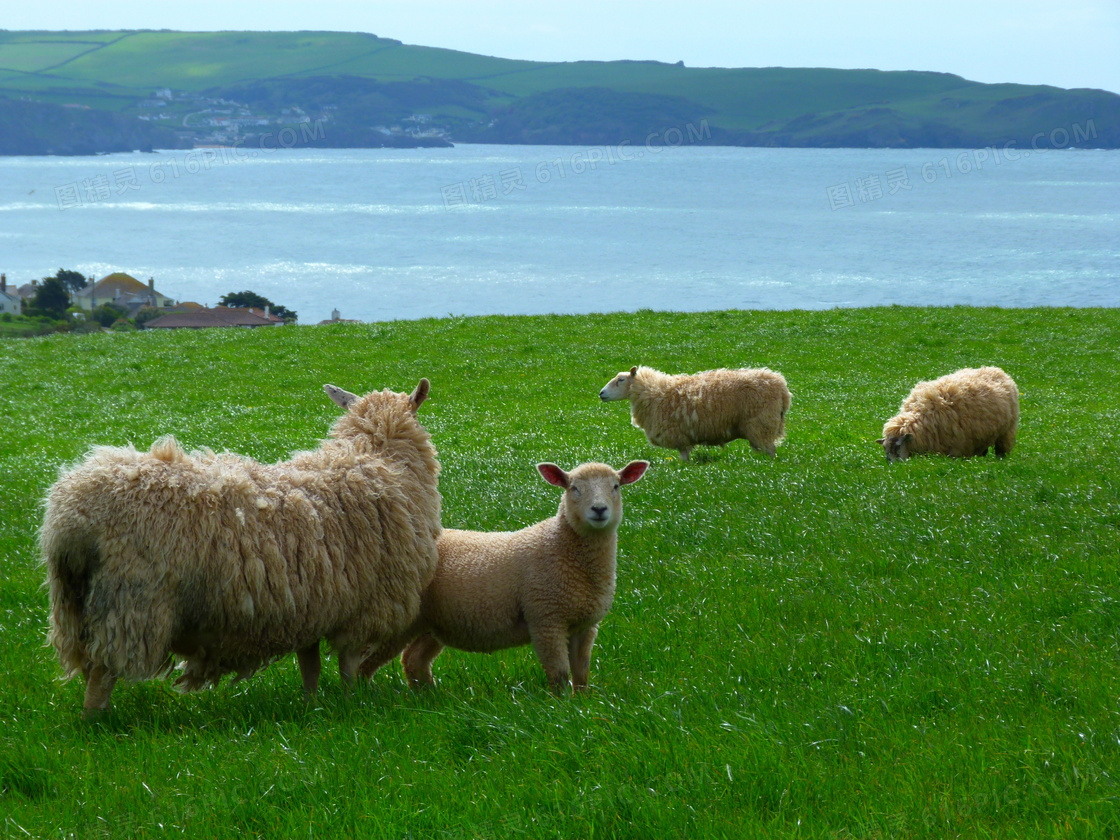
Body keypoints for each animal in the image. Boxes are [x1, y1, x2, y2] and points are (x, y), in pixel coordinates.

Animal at [40, 380, 441, 716]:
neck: (375, 459)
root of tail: (70, 517)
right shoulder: (366, 605)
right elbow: (348, 665)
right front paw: (352, 702)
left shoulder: (312, 606)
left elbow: (309, 666)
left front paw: (312, 706)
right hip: (131, 602)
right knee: (101, 674)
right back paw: (99, 723)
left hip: (75, 604)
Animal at [360, 463, 649, 694]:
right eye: (574, 488)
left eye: (616, 486)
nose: (599, 510)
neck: (561, 547)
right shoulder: (546, 618)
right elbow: (559, 674)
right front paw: (562, 707)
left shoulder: (585, 625)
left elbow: (581, 674)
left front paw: (583, 704)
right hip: (396, 617)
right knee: (365, 660)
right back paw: (361, 698)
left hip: (433, 621)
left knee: (413, 660)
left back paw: (429, 697)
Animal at [600, 367, 792, 463]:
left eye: (621, 380)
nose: (601, 393)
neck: (653, 393)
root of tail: (782, 388)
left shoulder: (678, 436)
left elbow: (684, 457)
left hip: (762, 424)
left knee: (770, 451)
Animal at [878, 367, 1021, 463]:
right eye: (884, 448)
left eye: (898, 446)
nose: (891, 465)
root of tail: (998, 370)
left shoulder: (958, 448)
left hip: (1007, 432)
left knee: (1001, 451)